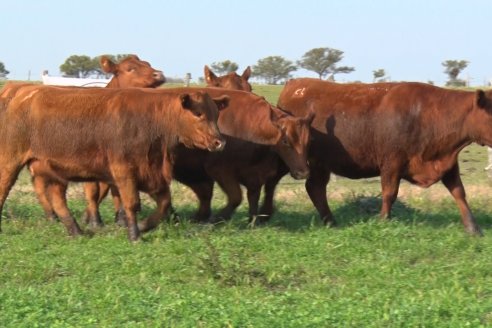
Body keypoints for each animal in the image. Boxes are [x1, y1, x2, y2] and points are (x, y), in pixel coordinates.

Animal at [0, 86, 227, 241]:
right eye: (198, 113)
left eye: (216, 114)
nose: (219, 142)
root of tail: (22, 92)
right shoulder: (124, 171)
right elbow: (132, 203)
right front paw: (135, 235)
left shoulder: (152, 175)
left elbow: (164, 205)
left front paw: (144, 226)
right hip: (10, 161)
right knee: (4, 189)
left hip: (53, 169)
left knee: (57, 198)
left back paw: (76, 230)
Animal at [270, 78, 492, 234]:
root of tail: (295, 84)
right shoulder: (391, 164)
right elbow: (389, 193)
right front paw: (383, 220)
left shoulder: (447, 163)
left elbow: (459, 192)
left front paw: (473, 228)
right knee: (310, 187)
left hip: (320, 165)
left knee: (315, 188)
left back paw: (330, 221)